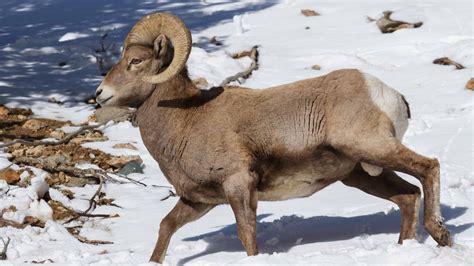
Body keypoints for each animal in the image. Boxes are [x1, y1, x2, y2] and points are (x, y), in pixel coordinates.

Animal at [95, 12, 452, 262]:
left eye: (136, 61)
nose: (99, 95)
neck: (187, 119)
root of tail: (389, 94)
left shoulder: (238, 185)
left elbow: (247, 235)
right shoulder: (200, 201)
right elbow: (166, 226)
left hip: (372, 148)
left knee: (428, 166)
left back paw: (440, 233)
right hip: (362, 173)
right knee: (408, 196)